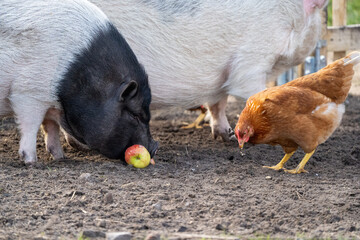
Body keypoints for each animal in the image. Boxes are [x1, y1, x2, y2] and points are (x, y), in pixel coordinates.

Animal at [0, 0, 158, 165]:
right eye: (135, 115)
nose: (155, 147)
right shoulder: (28, 93)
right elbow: (31, 126)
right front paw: (31, 162)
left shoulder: (50, 105)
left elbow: (51, 128)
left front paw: (61, 158)